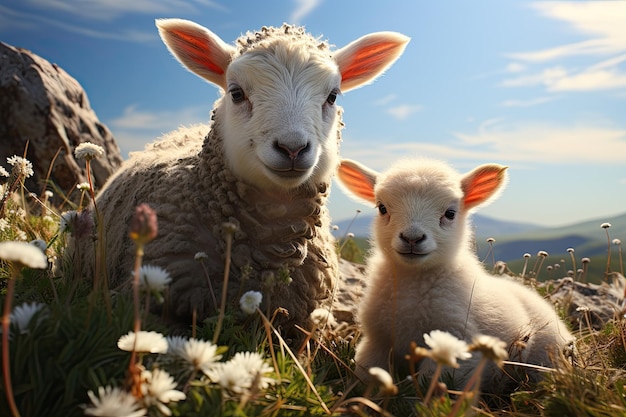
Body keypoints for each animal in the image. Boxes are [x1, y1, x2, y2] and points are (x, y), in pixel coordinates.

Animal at [334, 156, 572, 394]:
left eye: (450, 213)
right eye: (382, 208)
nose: (412, 238)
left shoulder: (457, 343)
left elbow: (430, 387)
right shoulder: (377, 341)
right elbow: (368, 376)